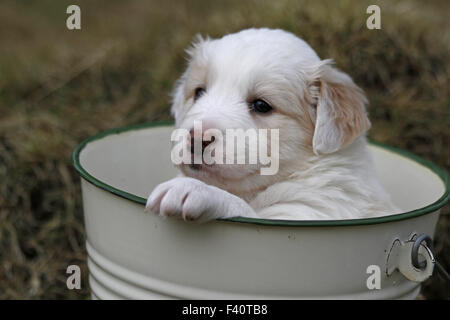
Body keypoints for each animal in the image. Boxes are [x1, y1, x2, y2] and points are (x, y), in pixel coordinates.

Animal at [145, 28, 398, 221]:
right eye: (198, 92)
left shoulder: (308, 212)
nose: (197, 138)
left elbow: (244, 209)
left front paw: (191, 189)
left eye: (261, 105)